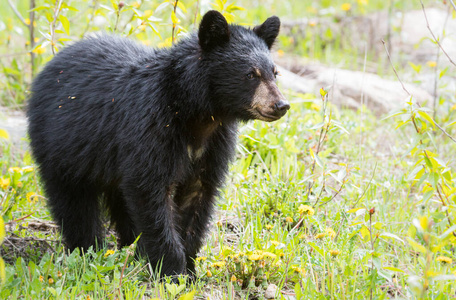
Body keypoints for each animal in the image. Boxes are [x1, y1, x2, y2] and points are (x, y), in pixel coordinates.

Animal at [27, 10, 288, 278]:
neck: (197, 114)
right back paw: (88, 250)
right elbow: (150, 191)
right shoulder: (151, 126)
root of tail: (49, 66)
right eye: (250, 74)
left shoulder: (214, 144)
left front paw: (189, 270)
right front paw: (171, 270)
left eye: (274, 73)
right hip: (61, 145)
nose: (281, 105)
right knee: (74, 203)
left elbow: (197, 196)